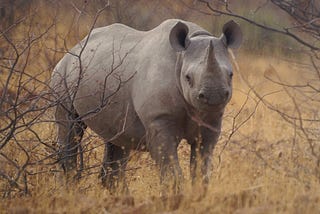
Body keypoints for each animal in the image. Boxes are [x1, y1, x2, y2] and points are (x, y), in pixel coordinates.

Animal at [50, 18, 241, 192]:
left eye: (231, 74)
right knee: (70, 128)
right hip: (62, 75)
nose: (214, 96)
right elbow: (171, 170)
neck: (181, 57)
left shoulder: (211, 121)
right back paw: (70, 189)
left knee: (118, 140)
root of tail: (74, 48)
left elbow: (201, 169)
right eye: (188, 77)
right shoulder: (158, 118)